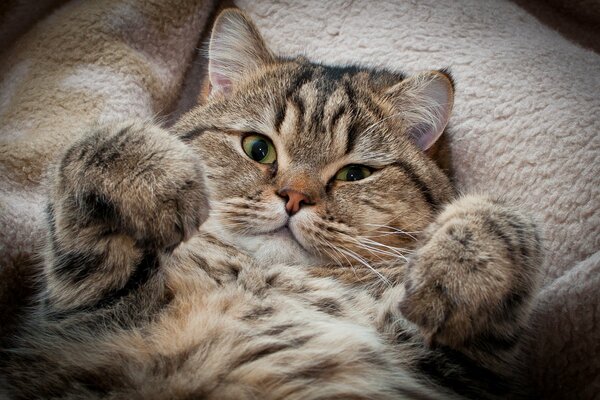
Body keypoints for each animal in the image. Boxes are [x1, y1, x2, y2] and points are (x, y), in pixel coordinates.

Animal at [1, 9, 544, 400]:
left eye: (354, 173)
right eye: (258, 148)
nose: (294, 197)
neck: (266, 277)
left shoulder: (456, 370)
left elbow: (505, 222)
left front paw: (464, 268)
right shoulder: (82, 315)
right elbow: (91, 148)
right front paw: (158, 176)